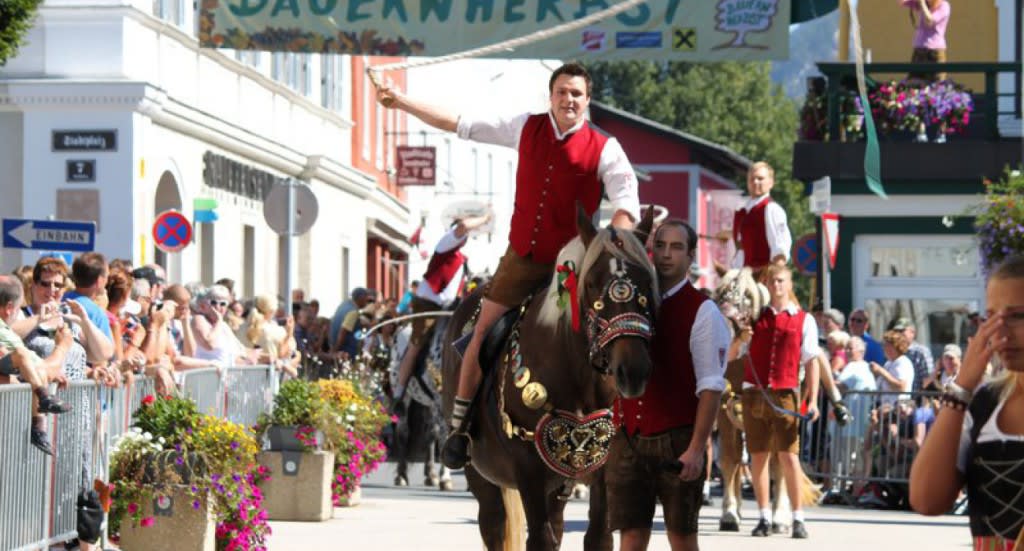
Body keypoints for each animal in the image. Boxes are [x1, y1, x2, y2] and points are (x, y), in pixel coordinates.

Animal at [441, 206, 657, 551]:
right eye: (592, 284)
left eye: (647, 283)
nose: (633, 370)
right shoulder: (528, 470)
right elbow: (540, 538)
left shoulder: (599, 470)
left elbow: (597, 537)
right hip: (481, 472)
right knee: (492, 522)